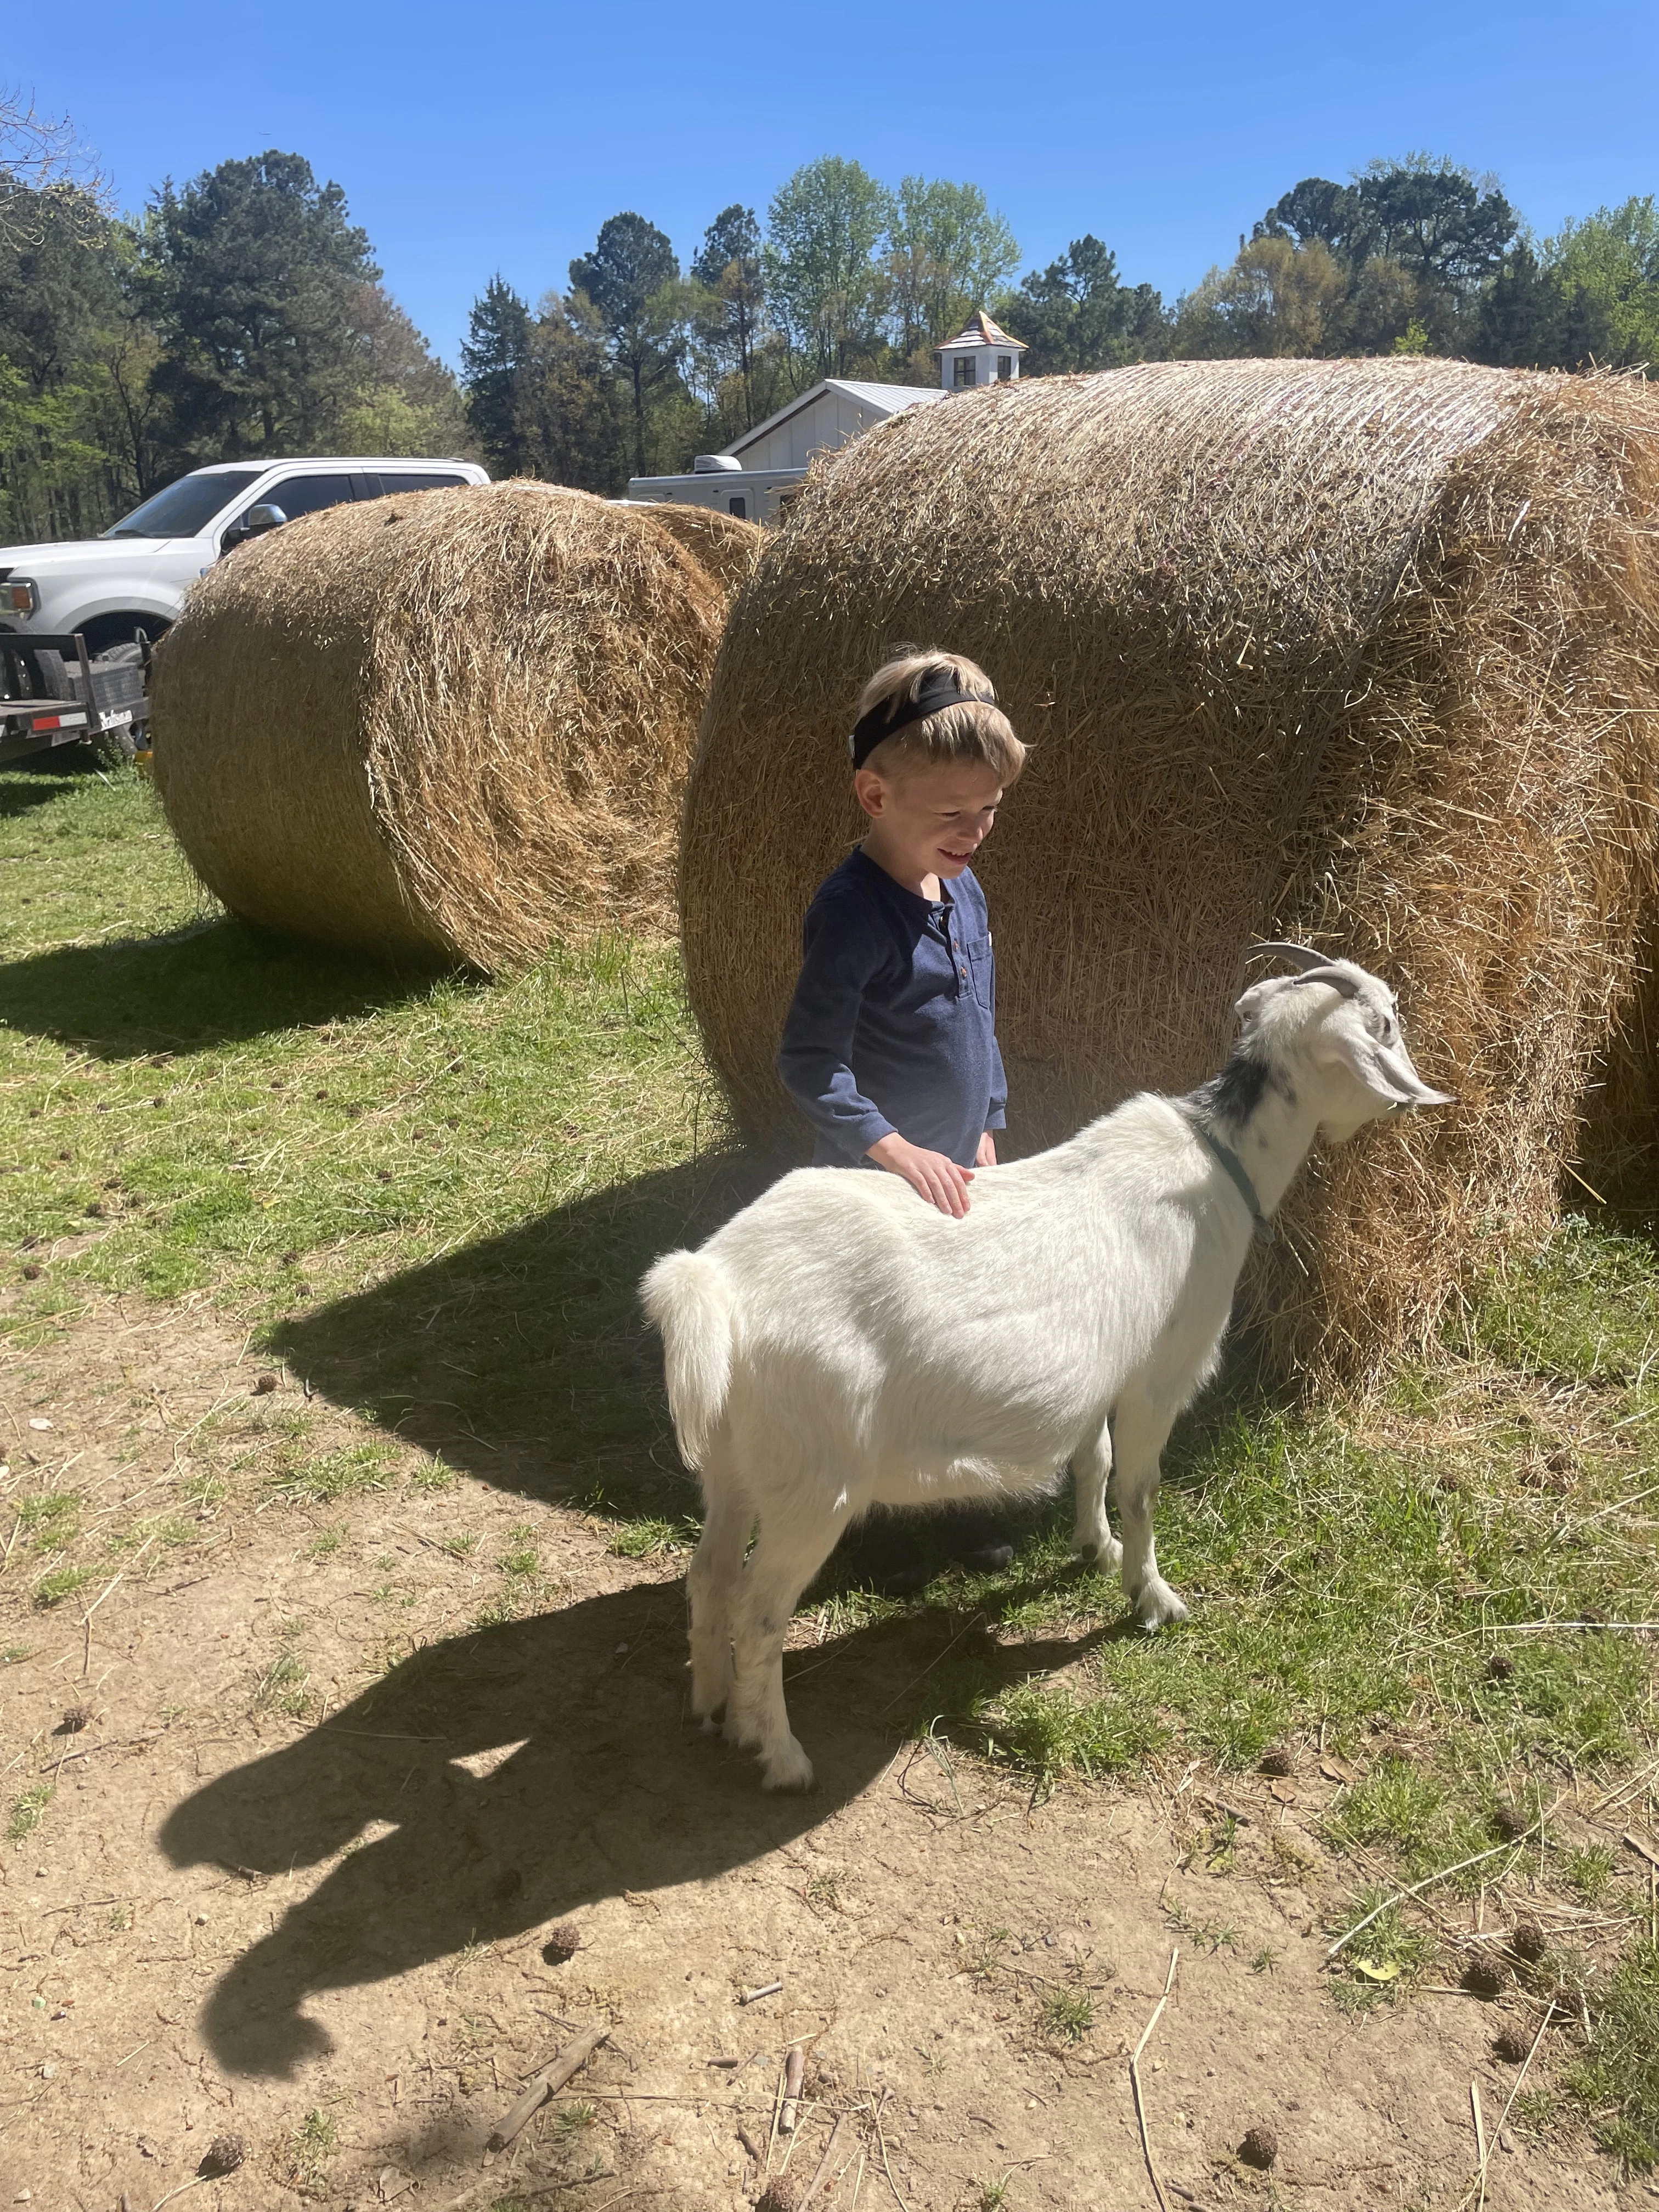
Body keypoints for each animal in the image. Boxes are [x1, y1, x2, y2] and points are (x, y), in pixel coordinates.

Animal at [641, 947, 1452, 1789]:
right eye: (1385, 1022)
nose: (1414, 1105)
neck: (1219, 1162)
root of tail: (716, 1283)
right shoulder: (1159, 1373)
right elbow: (1140, 1488)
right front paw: (1152, 1595)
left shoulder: (1100, 1373)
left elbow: (1093, 1461)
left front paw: (1095, 1549)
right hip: (814, 1478)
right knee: (760, 1612)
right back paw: (781, 1753)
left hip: (735, 1462)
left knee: (709, 1577)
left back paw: (713, 1709)